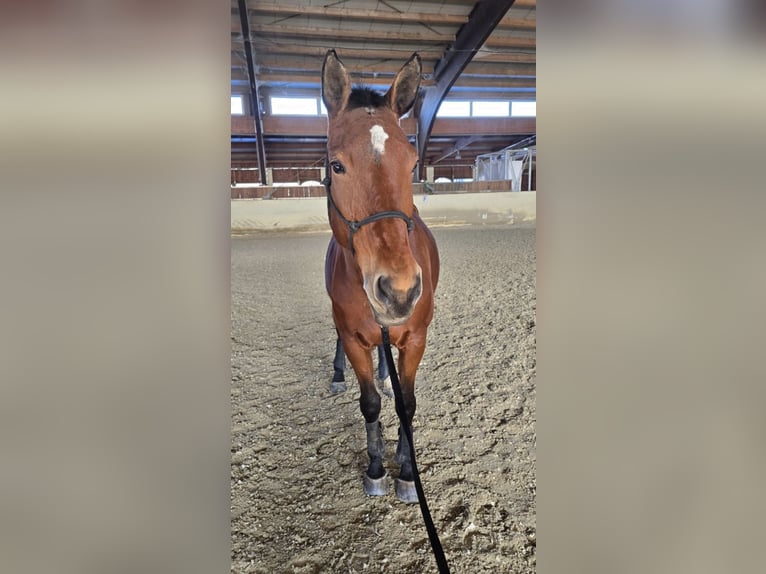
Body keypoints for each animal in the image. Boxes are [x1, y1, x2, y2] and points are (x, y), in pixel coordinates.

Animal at [322, 50, 440, 503]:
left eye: (411, 164)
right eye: (337, 165)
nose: (399, 290)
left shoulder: (416, 338)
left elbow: (406, 403)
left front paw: (406, 472)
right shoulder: (355, 337)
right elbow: (369, 403)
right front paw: (375, 469)